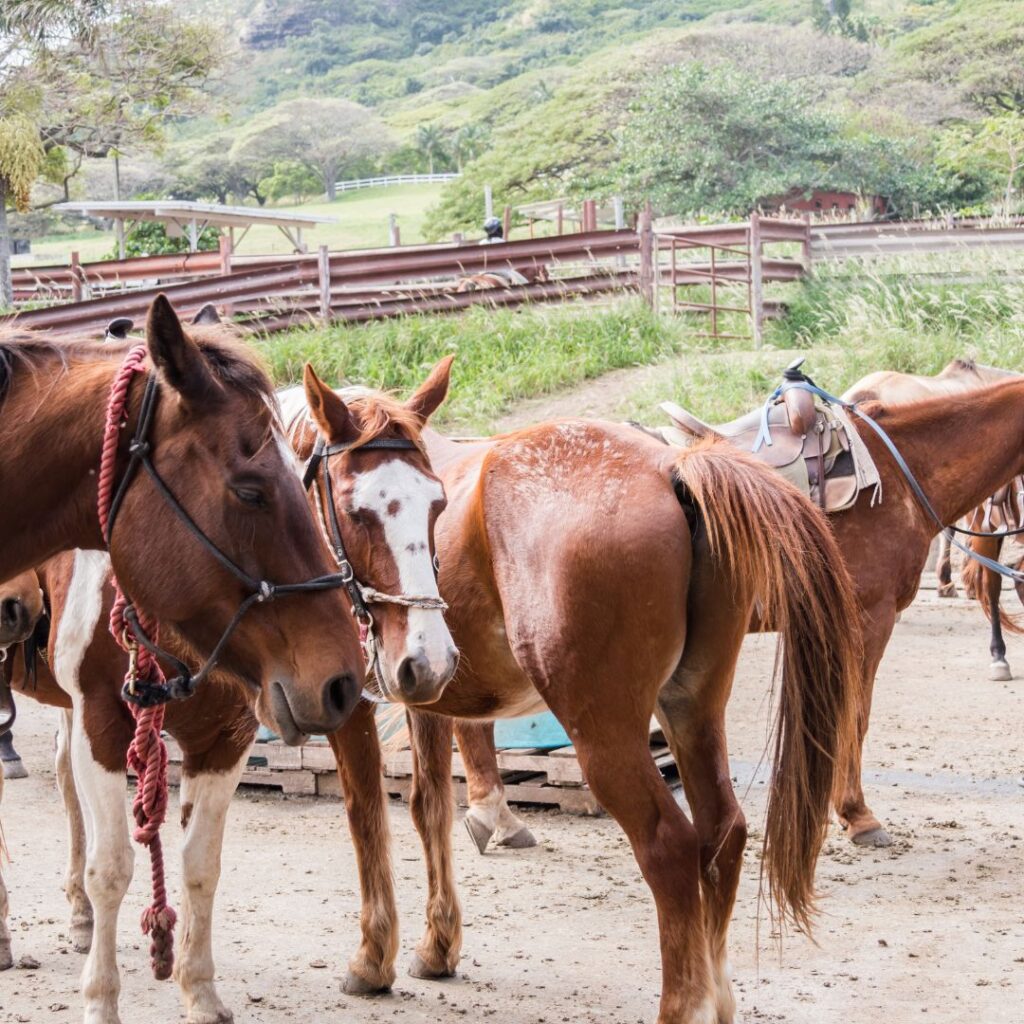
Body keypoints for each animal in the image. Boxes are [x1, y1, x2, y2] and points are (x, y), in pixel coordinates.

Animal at [0, 356, 456, 1019]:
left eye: (437, 505)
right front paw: (101, 1000)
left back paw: (80, 920)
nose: (431, 660)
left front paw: (200, 992)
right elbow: (112, 869)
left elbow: (200, 864)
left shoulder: (226, 737)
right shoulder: (101, 724)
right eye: (355, 510)